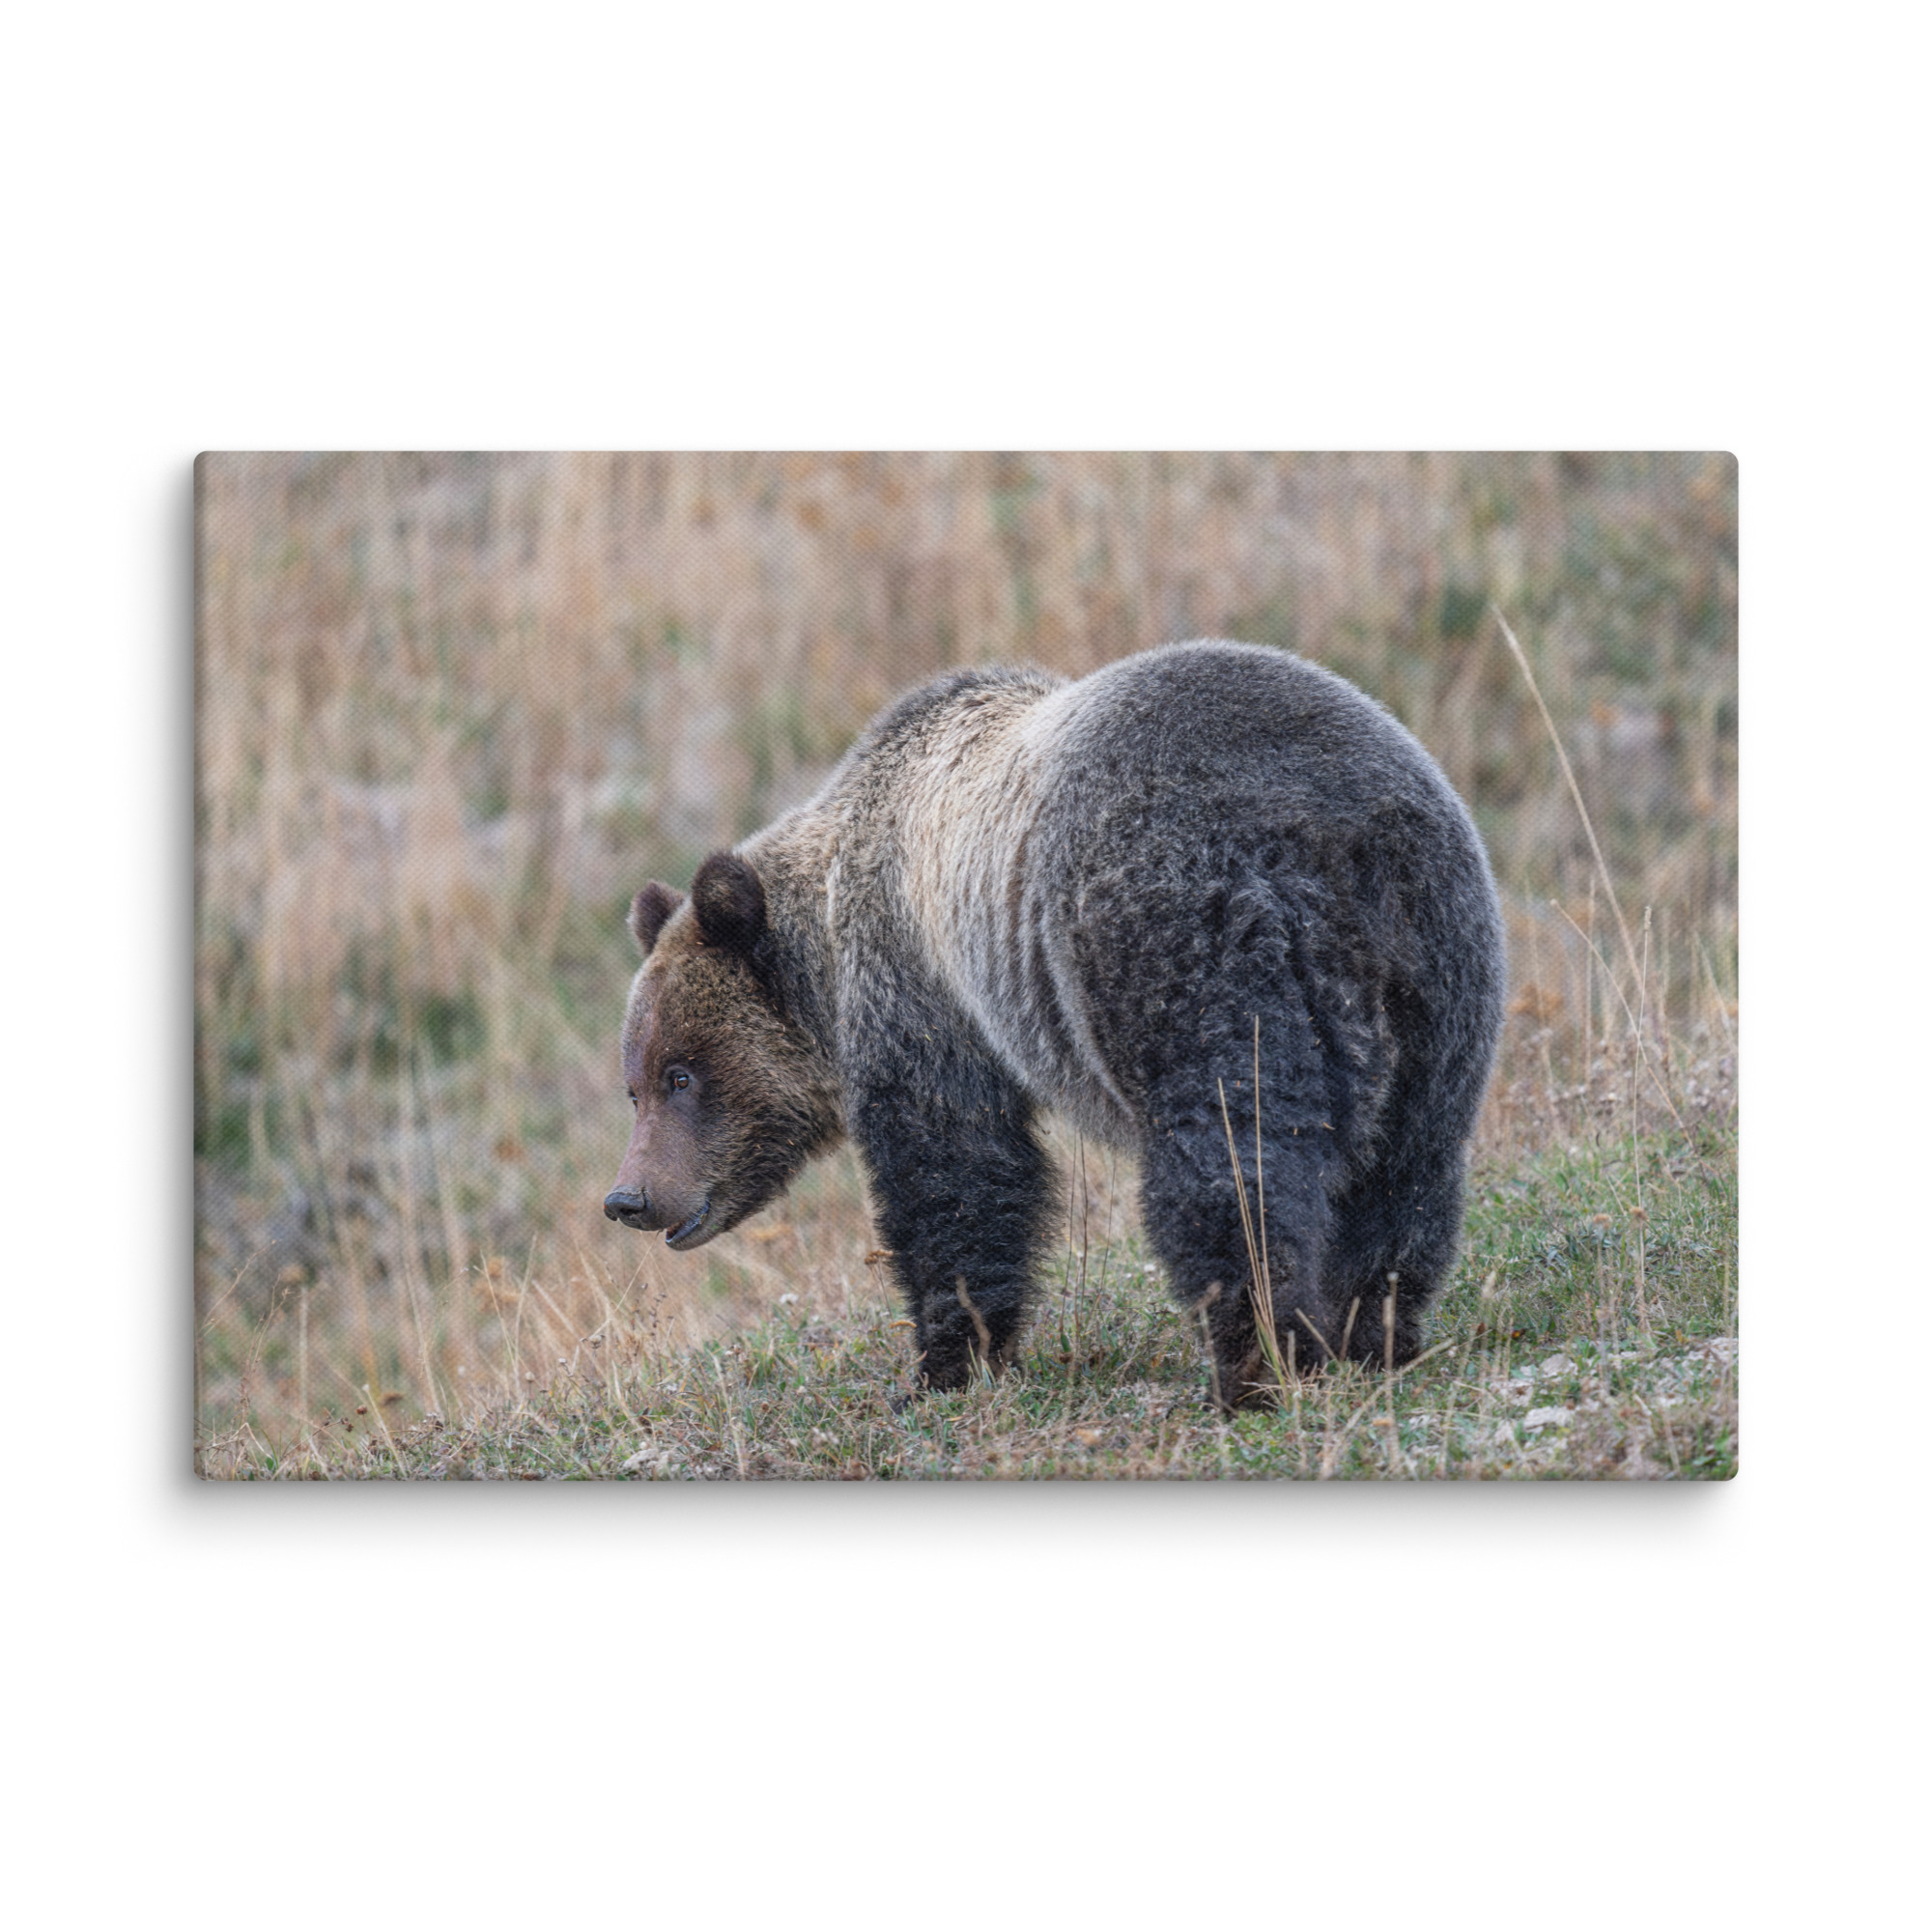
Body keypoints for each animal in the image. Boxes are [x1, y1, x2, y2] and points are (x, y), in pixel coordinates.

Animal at [604, 640, 1505, 1409]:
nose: (629, 1197)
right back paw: (1373, 1333)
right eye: (635, 1084)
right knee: (1408, 1166)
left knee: (1231, 1163)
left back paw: (1255, 1365)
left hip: (1184, 941)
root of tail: (1331, 836)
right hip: (1438, 967)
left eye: (681, 1074)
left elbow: (956, 1172)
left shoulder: (923, 990)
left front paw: (943, 1364)